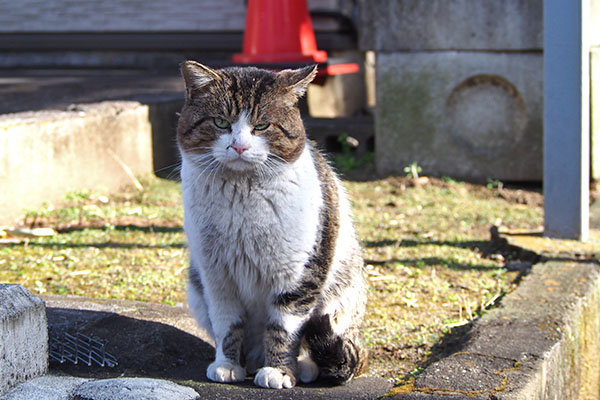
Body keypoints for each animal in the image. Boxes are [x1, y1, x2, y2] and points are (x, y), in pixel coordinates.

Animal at [178, 61, 366, 390]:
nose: (239, 146)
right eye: (221, 122)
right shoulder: (216, 276)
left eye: (262, 126)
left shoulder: (297, 275)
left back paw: (302, 367)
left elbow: (283, 327)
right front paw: (227, 365)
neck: (241, 199)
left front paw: (278, 371)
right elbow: (227, 324)